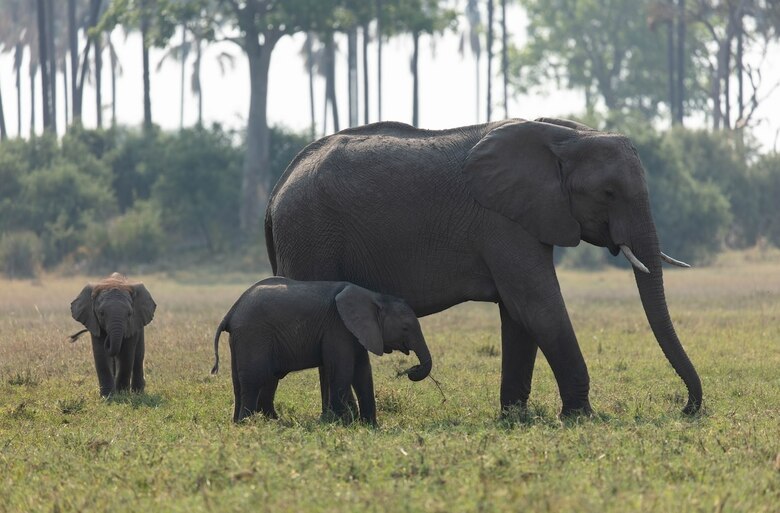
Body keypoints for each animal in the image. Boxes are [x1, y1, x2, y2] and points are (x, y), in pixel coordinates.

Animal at [212, 278, 432, 422]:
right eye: (405, 328)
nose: (412, 370)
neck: (374, 297)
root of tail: (231, 312)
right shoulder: (337, 328)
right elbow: (342, 371)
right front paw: (338, 424)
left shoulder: (357, 331)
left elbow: (363, 374)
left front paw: (370, 426)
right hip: (254, 335)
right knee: (255, 378)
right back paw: (248, 424)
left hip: (241, 339)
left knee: (241, 382)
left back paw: (251, 422)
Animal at [266, 119, 704, 416]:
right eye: (609, 193)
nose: (686, 409)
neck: (565, 136)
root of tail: (276, 192)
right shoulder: (502, 222)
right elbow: (538, 305)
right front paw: (581, 417)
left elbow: (519, 314)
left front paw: (516, 418)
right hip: (311, 235)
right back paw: (341, 419)